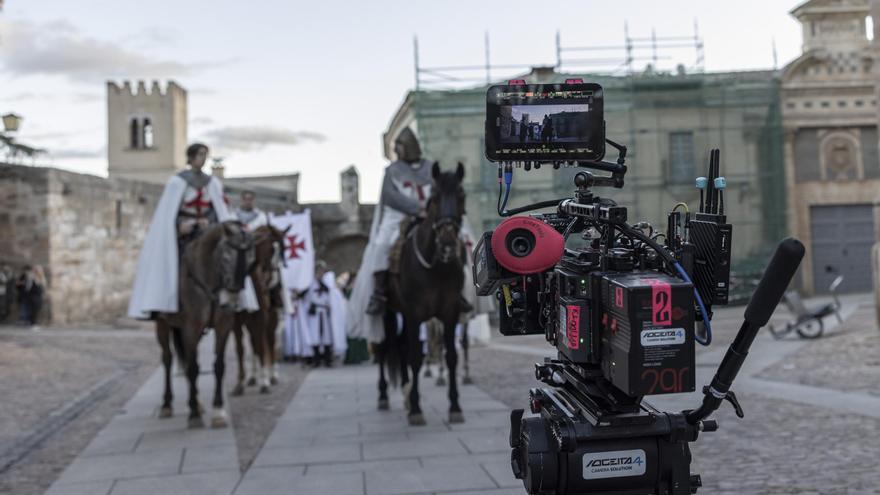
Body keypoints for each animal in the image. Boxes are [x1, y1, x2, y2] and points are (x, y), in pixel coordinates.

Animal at [152, 223, 251, 428]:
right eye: (226, 256)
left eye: (249, 259)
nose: (231, 301)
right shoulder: (191, 328)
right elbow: (193, 368)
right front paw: (194, 415)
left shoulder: (223, 326)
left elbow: (218, 365)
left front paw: (218, 411)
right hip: (162, 324)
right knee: (168, 359)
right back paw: (167, 404)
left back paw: (196, 402)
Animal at [232, 225, 288, 396]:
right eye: (271, 249)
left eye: (283, 250)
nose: (272, 276)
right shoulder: (236, 320)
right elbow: (240, 349)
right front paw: (240, 383)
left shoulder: (261, 317)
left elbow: (262, 346)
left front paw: (265, 382)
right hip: (250, 321)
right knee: (254, 342)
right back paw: (252, 376)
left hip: (271, 317)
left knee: (268, 340)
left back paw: (272, 375)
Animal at [382, 163, 470, 426]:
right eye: (435, 197)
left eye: (461, 195)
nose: (448, 244)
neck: (437, 267)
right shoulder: (414, 314)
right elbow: (415, 358)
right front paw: (416, 409)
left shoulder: (450, 313)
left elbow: (451, 356)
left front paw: (455, 407)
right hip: (388, 312)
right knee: (385, 348)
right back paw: (385, 396)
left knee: (400, 347)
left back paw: (404, 392)